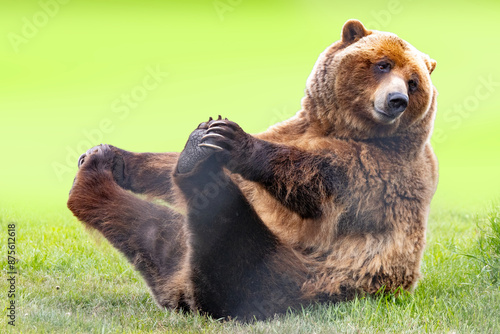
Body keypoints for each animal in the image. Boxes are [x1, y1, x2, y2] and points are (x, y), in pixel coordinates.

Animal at [67, 18, 438, 320]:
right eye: (383, 64)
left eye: (413, 81)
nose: (397, 101)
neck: (339, 128)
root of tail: (182, 293)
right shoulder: (296, 129)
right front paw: (115, 156)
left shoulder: (382, 169)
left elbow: (316, 184)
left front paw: (232, 138)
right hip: (184, 251)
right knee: (155, 231)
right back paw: (96, 175)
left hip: (293, 277)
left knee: (229, 241)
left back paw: (194, 165)